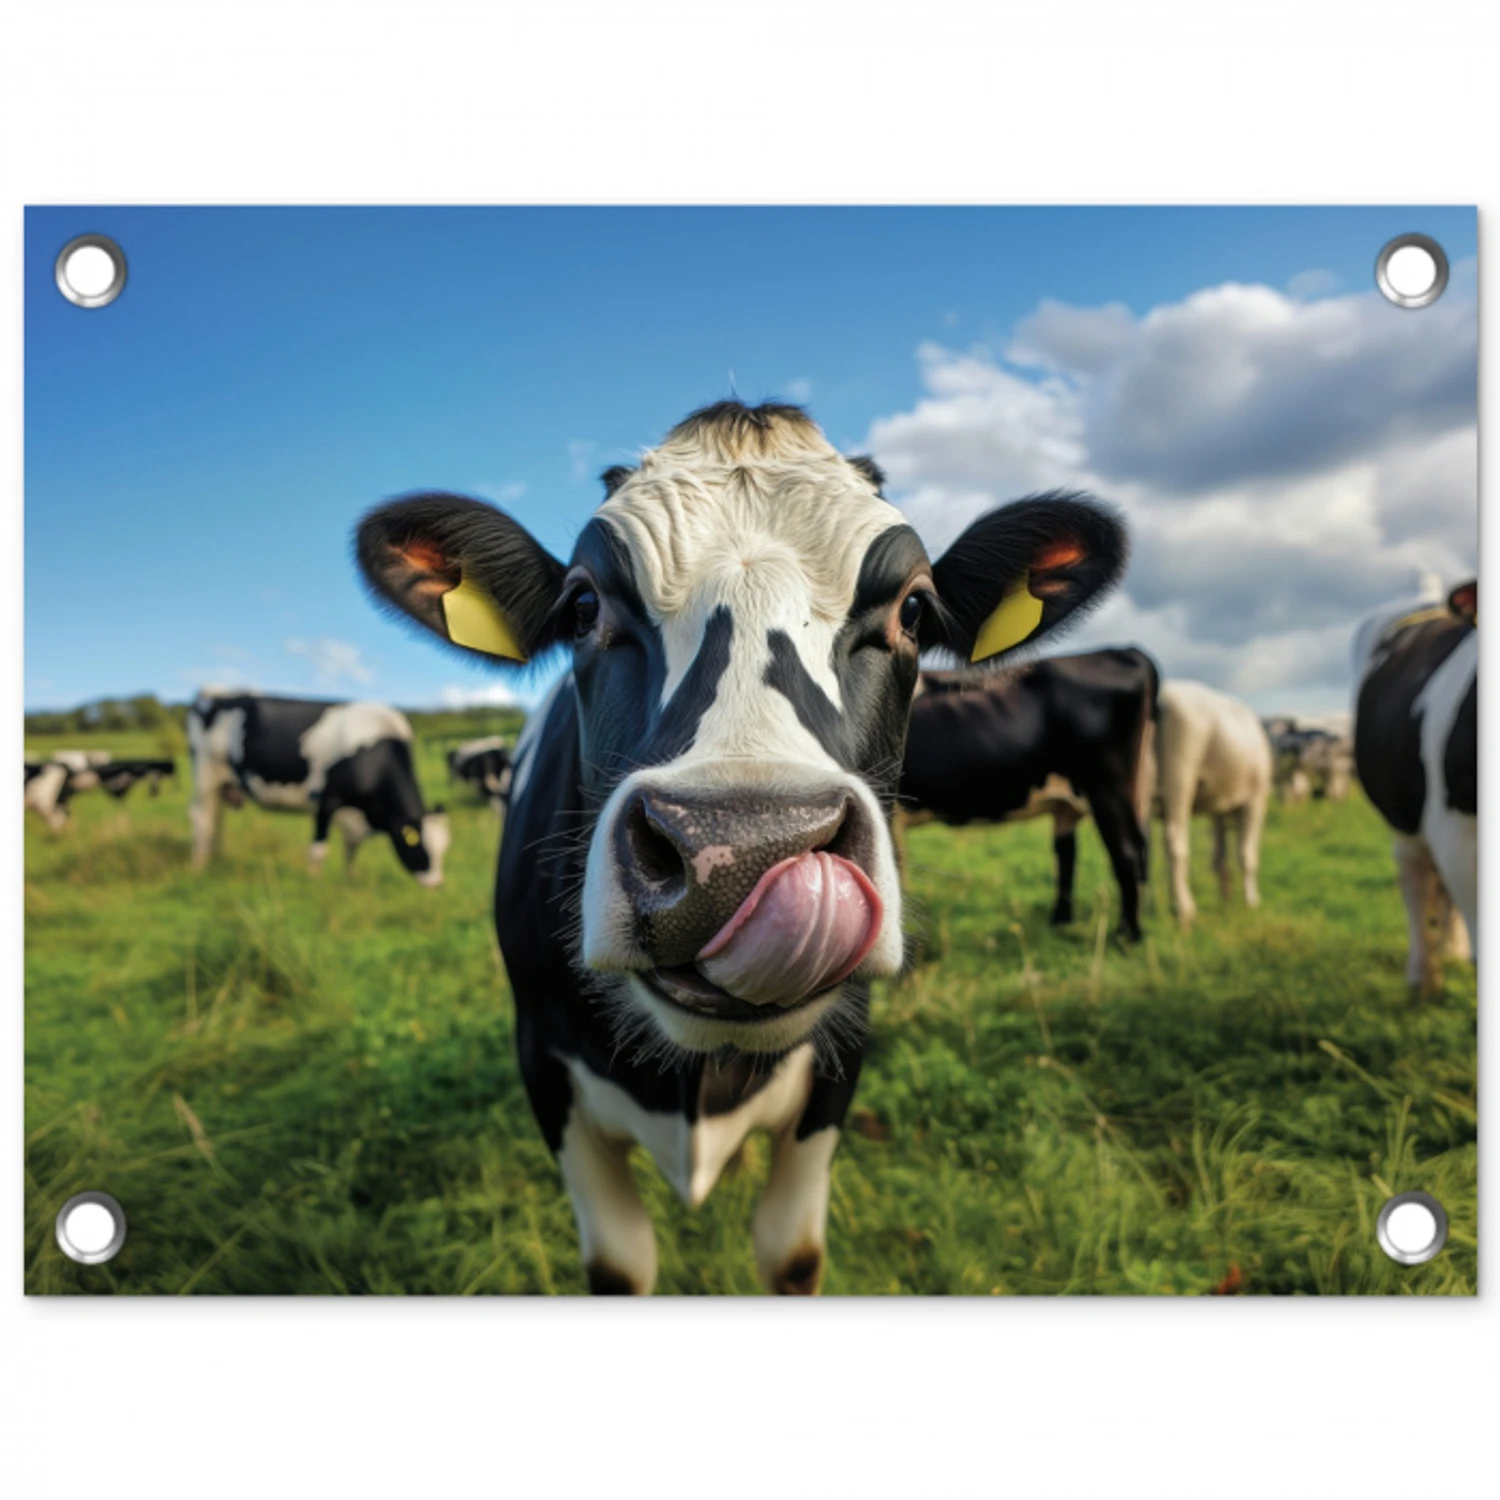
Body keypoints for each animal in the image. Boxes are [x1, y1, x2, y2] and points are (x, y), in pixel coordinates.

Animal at [186, 690, 451, 884]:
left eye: (444, 848)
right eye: (417, 845)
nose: (436, 884)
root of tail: (212, 696)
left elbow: (351, 849)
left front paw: (350, 879)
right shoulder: (326, 801)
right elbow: (319, 850)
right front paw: (313, 882)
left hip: (222, 784)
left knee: (216, 820)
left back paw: (216, 859)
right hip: (205, 776)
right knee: (202, 818)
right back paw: (198, 866)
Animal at [355, 400, 1127, 1294]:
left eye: (914, 610)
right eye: (582, 606)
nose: (740, 851)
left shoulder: (839, 1065)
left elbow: (790, 1252)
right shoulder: (545, 1068)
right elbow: (619, 1262)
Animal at [897, 648, 1159, 941]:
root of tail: (1125, 651)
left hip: (1108, 787)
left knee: (1126, 853)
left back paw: (1126, 935)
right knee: (1074, 853)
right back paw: (1062, 922)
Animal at [1154, 679, 1274, 925]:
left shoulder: (1218, 809)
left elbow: (1219, 856)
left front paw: (1225, 899)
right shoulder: (1256, 800)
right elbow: (1247, 854)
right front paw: (1251, 902)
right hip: (1179, 777)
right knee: (1175, 841)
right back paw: (1183, 909)